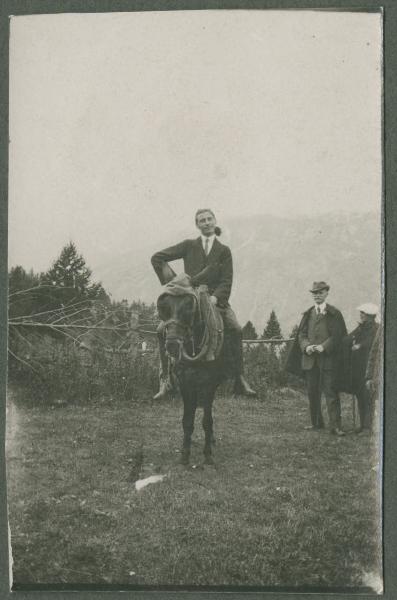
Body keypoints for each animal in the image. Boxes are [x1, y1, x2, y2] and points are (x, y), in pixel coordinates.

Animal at [156, 284, 227, 466]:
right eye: (164, 308)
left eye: (189, 308)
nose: (172, 345)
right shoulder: (185, 383)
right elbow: (187, 420)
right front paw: (185, 454)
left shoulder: (209, 384)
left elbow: (207, 421)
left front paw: (208, 455)